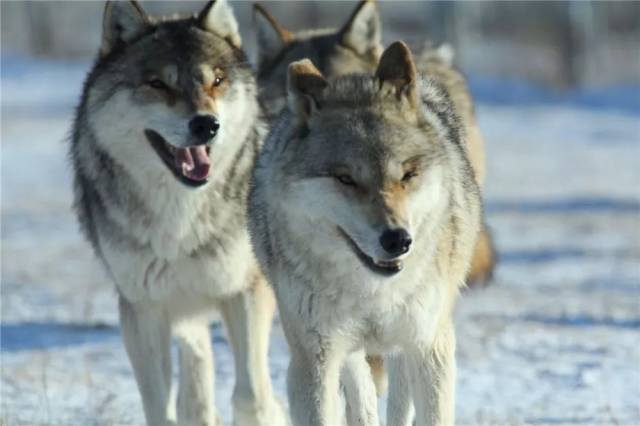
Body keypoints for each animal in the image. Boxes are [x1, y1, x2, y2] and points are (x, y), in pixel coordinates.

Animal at [69, 1, 284, 424]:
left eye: (216, 80)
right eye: (158, 84)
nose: (206, 124)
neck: (181, 219)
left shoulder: (246, 291)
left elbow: (252, 394)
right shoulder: (143, 309)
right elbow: (160, 406)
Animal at [248, 40, 482, 426]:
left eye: (407, 175)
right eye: (345, 178)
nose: (398, 240)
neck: (373, 293)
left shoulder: (429, 345)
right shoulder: (314, 357)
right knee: (362, 390)